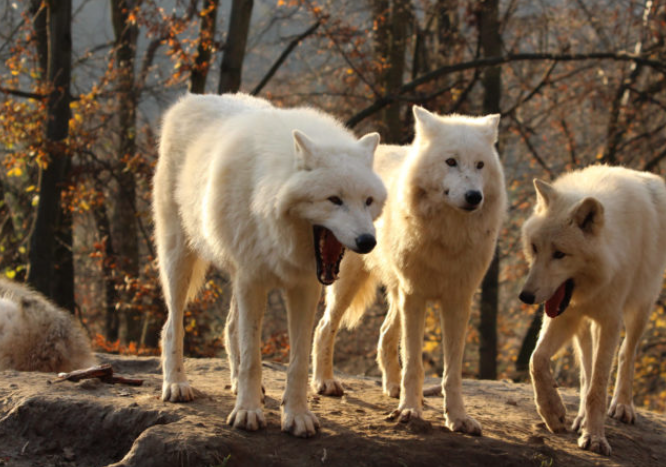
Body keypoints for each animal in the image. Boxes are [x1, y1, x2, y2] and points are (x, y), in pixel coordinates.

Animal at [153, 94, 386, 438]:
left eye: (368, 200)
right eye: (334, 199)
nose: (368, 241)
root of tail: (190, 100)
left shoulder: (304, 287)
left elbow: (298, 361)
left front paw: (297, 415)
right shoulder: (253, 280)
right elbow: (253, 357)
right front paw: (248, 412)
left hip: (235, 274)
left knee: (230, 327)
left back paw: (235, 384)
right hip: (180, 259)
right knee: (172, 325)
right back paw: (176, 384)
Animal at [310, 107, 504, 436]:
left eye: (480, 165)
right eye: (450, 161)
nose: (474, 196)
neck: (447, 237)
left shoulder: (458, 301)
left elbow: (452, 371)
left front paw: (458, 418)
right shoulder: (416, 296)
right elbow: (414, 362)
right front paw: (410, 411)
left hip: (397, 293)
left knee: (385, 333)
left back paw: (392, 387)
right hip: (349, 283)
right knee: (325, 327)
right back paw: (325, 382)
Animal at [520, 165, 664, 458]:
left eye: (560, 254)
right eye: (535, 248)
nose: (525, 296)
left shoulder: (610, 321)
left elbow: (598, 388)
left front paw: (596, 438)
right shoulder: (565, 315)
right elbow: (536, 360)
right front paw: (553, 413)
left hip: (640, 308)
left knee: (626, 353)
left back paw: (622, 406)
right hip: (583, 327)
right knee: (585, 370)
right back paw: (579, 418)